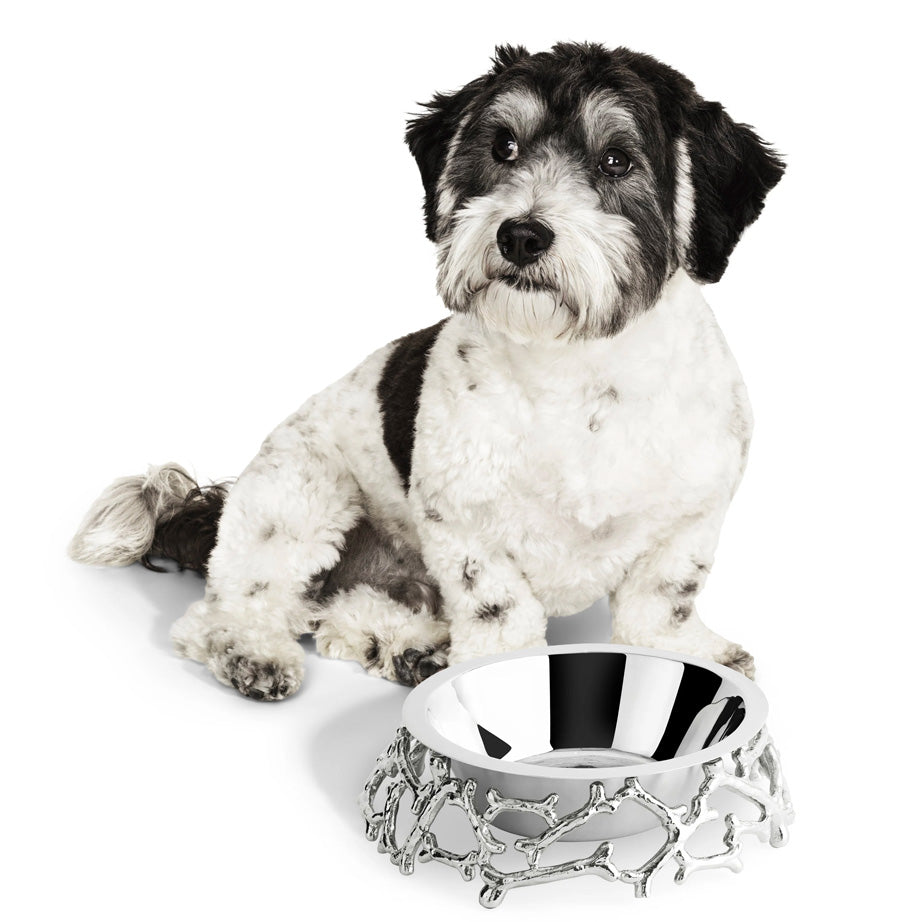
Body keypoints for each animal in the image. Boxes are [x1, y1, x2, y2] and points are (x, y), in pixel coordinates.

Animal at [69, 43, 784, 701]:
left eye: (617, 159)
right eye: (503, 146)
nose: (521, 235)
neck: (577, 375)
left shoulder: (692, 515)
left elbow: (662, 600)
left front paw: (685, 654)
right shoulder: (464, 526)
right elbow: (499, 610)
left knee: (341, 611)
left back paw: (404, 646)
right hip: (304, 492)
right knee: (232, 607)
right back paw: (256, 649)